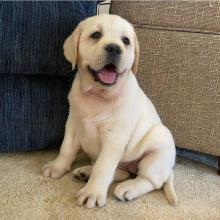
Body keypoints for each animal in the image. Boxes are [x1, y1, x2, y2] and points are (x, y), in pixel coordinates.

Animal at [42, 13, 178, 208]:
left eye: (125, 40)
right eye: (96, 35)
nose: (114, 48)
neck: (98, 95)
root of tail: (169, 168)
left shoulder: (114, 137)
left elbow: (103, 167)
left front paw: (92, 192)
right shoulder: (73, 123)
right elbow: (66, 148)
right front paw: (57, 167)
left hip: (158, 146)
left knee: (151, 180)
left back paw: (128, 189)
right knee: (121, 172)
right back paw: (86, 172)